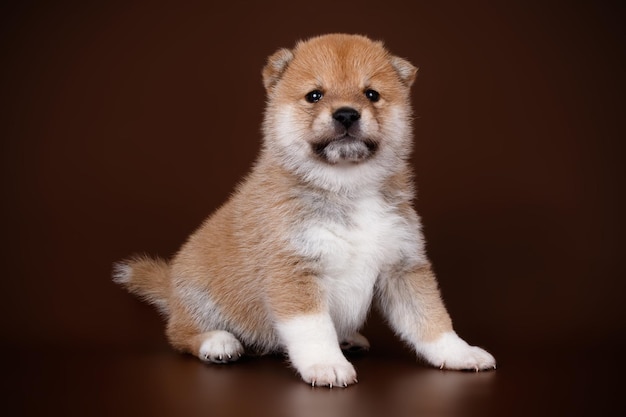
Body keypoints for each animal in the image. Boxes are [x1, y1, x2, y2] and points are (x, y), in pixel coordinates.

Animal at [111, 32, 492, 386]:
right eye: (314, 95)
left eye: (371, 94)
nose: (346, 114)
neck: (346, 187)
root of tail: (171, 287)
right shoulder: (294, 271)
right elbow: (314, 329)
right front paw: (326, 364)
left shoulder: (403, 266)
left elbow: (431, 319)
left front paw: (459, 352)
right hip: (199, 298)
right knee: (179, 334)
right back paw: (217, 342)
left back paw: (348, 339)